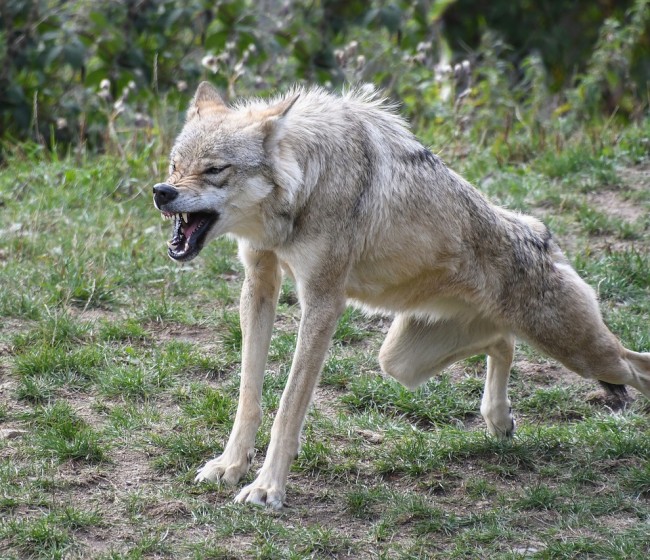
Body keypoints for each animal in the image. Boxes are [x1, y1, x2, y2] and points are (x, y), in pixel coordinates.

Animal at [153, 82, 648, 508]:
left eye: (214, 170)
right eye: (175, 164)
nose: (162, 192)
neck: (306, 183)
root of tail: (542, 233)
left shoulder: (323, 301)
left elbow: (289, 407)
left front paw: (267, 488)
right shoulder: (258, 283)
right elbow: (248, 396)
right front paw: (231, 466)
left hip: (586, 354)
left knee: (634, 365)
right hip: (399, 361)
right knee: (502, 343)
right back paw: (498, 418)